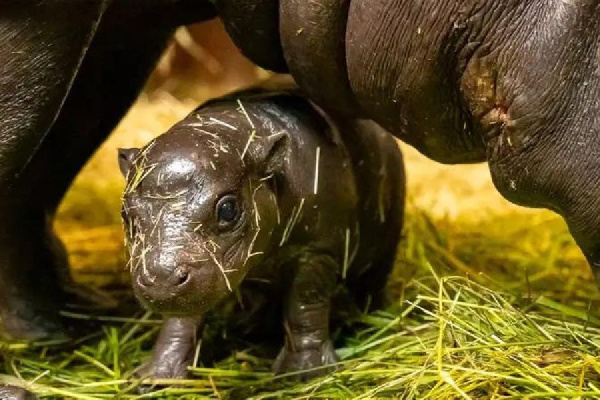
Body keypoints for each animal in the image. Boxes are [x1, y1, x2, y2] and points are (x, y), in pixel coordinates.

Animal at [118, 90, 406, 382]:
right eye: (125, 213)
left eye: (228, 209)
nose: (160, 279)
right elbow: (181, 320)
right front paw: (155, 378)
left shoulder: (316, 250)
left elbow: (305, 304)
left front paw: (303, 372)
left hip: (384, 249)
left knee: (370, 286)